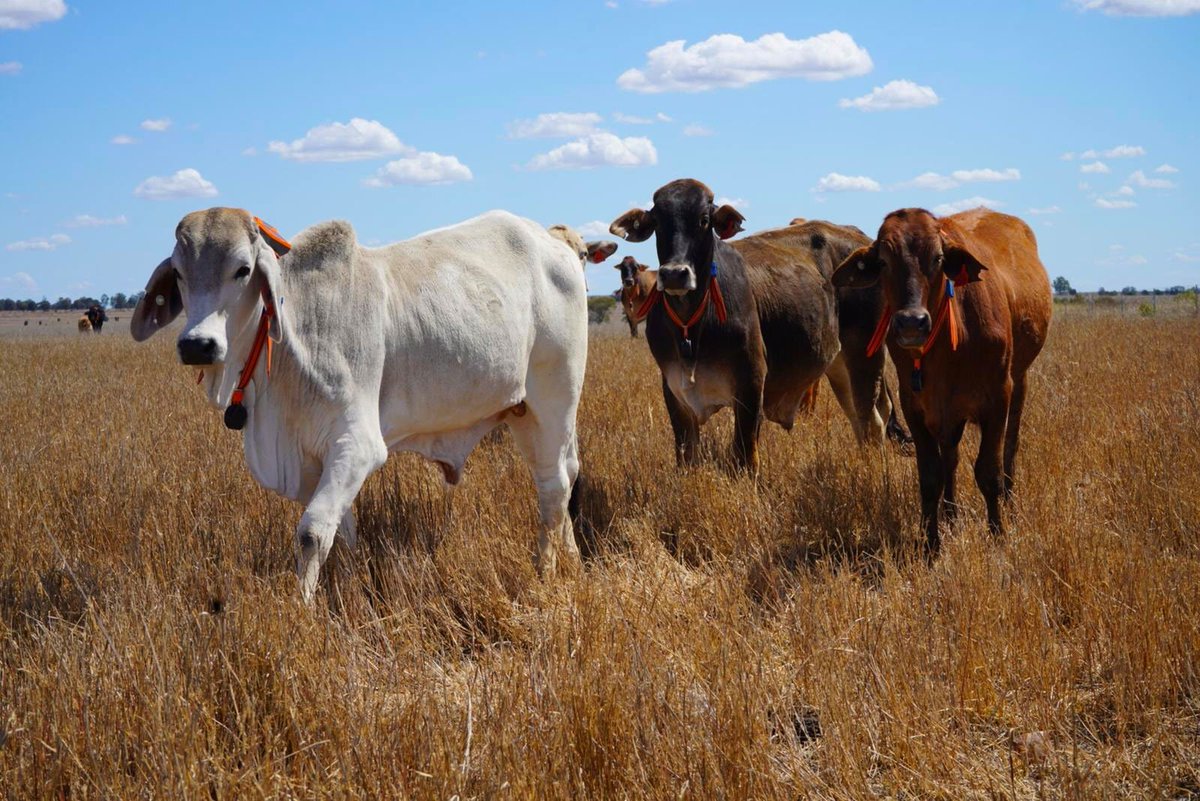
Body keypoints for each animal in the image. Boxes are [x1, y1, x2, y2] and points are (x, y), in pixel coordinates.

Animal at [132, 207, 593, 600]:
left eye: (243, 269)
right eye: (179, 272)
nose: (198, 345)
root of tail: (554, 244)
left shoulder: (356, 444)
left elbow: (312, 533)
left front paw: (303, 611)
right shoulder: (313, 463)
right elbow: (342, 532)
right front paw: (349, 592)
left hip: (554, 400)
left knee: (554, 487)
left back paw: (545, 572)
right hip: (521, 412)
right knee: (563, 475)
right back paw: (571, 560)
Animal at [609, 179, 845, 472]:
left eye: (704, 219)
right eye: (658, 222)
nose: (674, 274)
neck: (690, 327)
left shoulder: (752, 382)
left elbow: (745, 453)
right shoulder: (673, 389)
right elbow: (686, 453)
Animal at [832, 207, 1052, 554]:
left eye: (937, 258)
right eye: (883, 261)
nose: (911, 323)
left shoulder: (998, 397)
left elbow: (989, 471)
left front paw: (998, 535)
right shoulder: (915, 406)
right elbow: (930, 477)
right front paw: (931, 542)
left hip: (1018, 383)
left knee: (1010, 448)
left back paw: (1008, 500)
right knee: (951, 458)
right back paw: (950, 514)